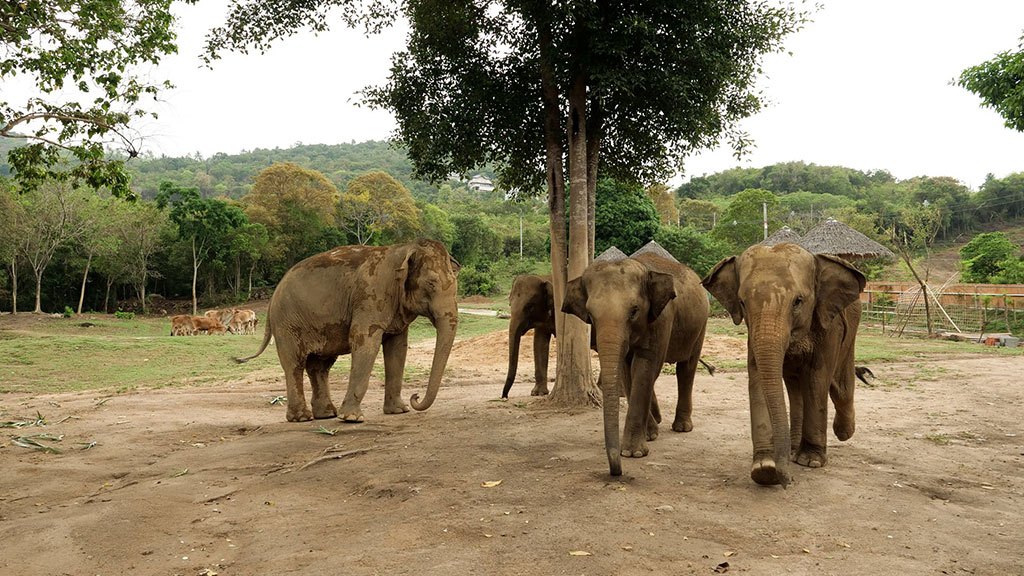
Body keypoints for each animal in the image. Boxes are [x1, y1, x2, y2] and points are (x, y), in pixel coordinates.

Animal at [236, 239, 460, 423]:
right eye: (431, 283)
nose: (416, 397)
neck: (404, 248)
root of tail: (273, 296)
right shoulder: (370, 296)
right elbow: (364, 341)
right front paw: (352, 418)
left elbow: (397, 348)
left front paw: (399, 411)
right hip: (287, 324)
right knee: (295, 364)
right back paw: (302, 418)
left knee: (319, 366)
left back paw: (326, 414)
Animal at [563, 252, 709, 476]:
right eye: (591, 315)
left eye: (634, 311)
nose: (616, 471)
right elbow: (626, 370)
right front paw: (649, 435)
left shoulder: (662, 318)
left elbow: (645, 366)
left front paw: (633, 453)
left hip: (700, 326)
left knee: (686, 368)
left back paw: (682, 427)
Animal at [702, 242, 865, 487]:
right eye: (742, 303)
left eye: (798, 301)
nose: (787, 481)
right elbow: (758, 377)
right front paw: (765, 469)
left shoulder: (829, 325)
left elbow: (817, 378)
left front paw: (811, 461)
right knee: (796, 388)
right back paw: (793, 450)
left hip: (851, 327)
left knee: (840, 386)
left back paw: (843, 432)